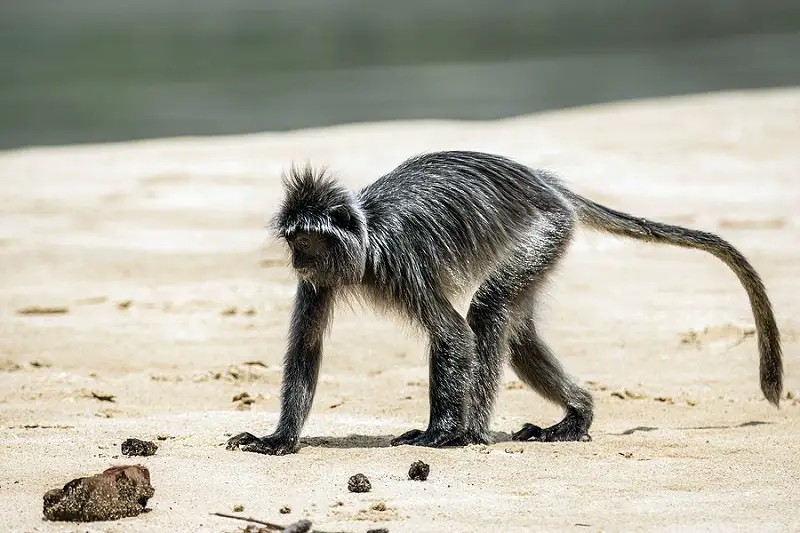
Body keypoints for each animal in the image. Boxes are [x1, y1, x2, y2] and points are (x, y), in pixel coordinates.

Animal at [225, 150, 783, 456]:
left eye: (305, 241)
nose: (295, 258)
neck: (364, 239)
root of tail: (546, 183)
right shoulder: (319, 280)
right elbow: (306, 347)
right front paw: (279, 439)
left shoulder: (400, 260)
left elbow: (452, 334)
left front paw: (440, 433)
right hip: (546, 243)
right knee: (514, 333)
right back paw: (577, 416)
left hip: (543, 230)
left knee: (486, 315)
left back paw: (470, 433)